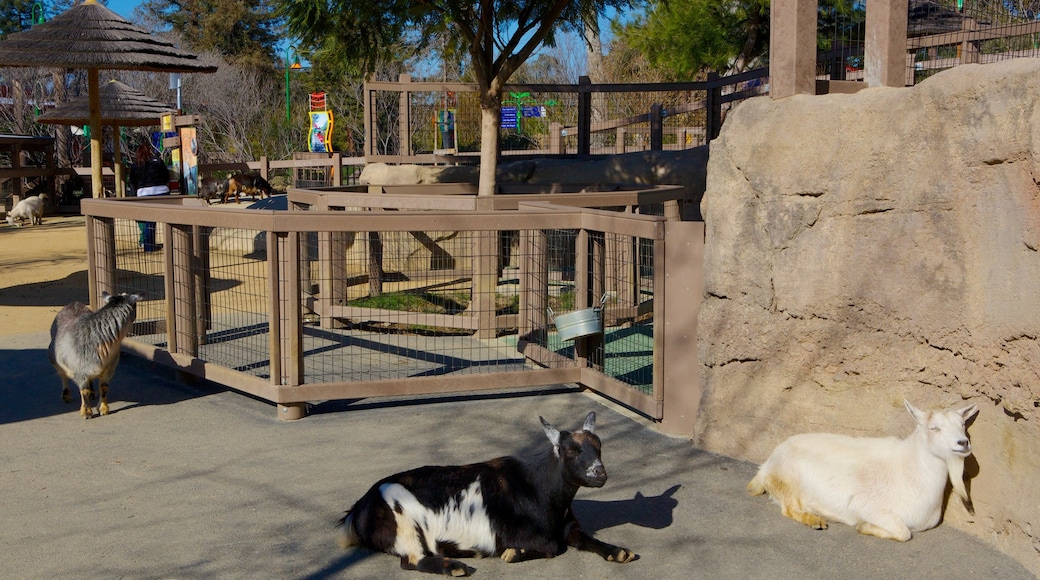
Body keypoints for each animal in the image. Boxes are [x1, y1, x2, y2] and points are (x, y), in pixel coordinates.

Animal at [336, 413, 636, 577]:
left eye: (599, 446)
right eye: (571, 450)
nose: (600, 474)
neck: (539, 489)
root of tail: (359, 508)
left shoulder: (569, 526)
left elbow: (585, 538)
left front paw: (620, 551)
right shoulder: (513, 534)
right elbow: (551, 547)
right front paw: (513, 553)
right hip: (405, 527)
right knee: (412, 560)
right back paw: (455, 567)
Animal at [748, 399, 981, 540]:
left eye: (963, 425)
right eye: (934, 428)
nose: (963, 443)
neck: (908, 470)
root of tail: (767, 465)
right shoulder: (870, 508)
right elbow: (904, 532)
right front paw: (864, 527)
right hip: (788, 480)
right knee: (788, 508)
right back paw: (815, 520)